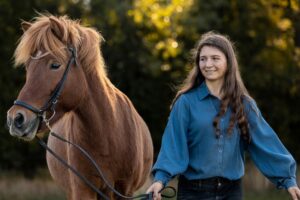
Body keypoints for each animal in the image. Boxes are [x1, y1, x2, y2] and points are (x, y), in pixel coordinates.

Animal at [6, 14, 154, 199]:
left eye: (55, 65)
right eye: (28, 66)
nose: (16, 119)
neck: (108, 135)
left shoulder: (125, 190)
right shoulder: (82, 189)